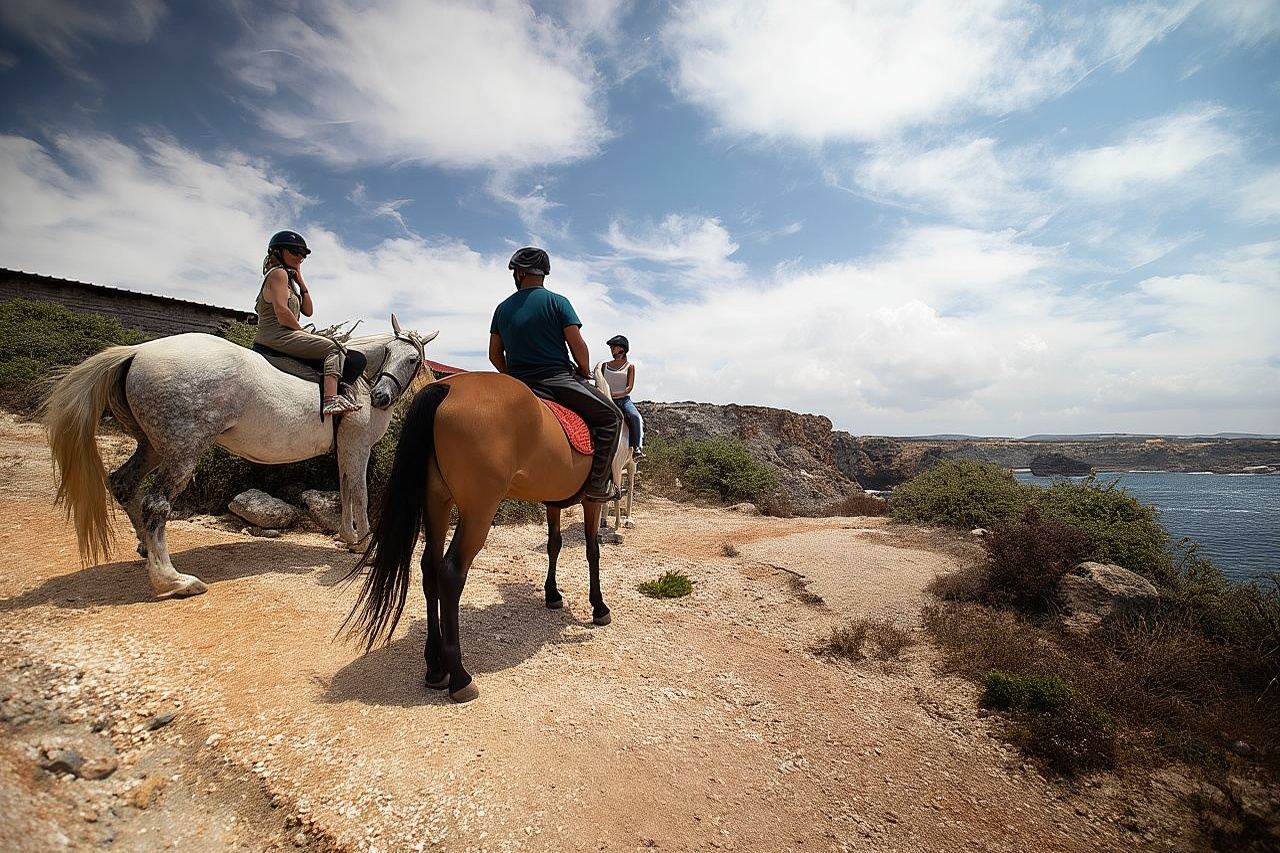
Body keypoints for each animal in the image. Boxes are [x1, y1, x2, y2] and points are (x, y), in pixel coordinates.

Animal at [45, 314, 436, 598]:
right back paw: (174, 581)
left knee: (124, 485)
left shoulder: (346, 449)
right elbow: (360, 493)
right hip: (183, 451)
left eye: (412, 359)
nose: (381, 397)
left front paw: (350, 539)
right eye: (394, 355)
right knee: (155, 504)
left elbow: (345, 489)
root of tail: (138, 352)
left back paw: (145, 549)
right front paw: (365, 543)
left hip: (153, 447)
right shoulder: (357, 446)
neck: (361, 381)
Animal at [345, 367, 631, 703]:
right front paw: (599, 607)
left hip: (437, 501)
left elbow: (554, 545)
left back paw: (435, 668)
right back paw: (459, 677)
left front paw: (552, 594)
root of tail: (447, 388)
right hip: (479, 510)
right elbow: (592, 551)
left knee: (430, 568)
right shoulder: (592, 502)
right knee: (451, 572)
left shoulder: (552, 503)